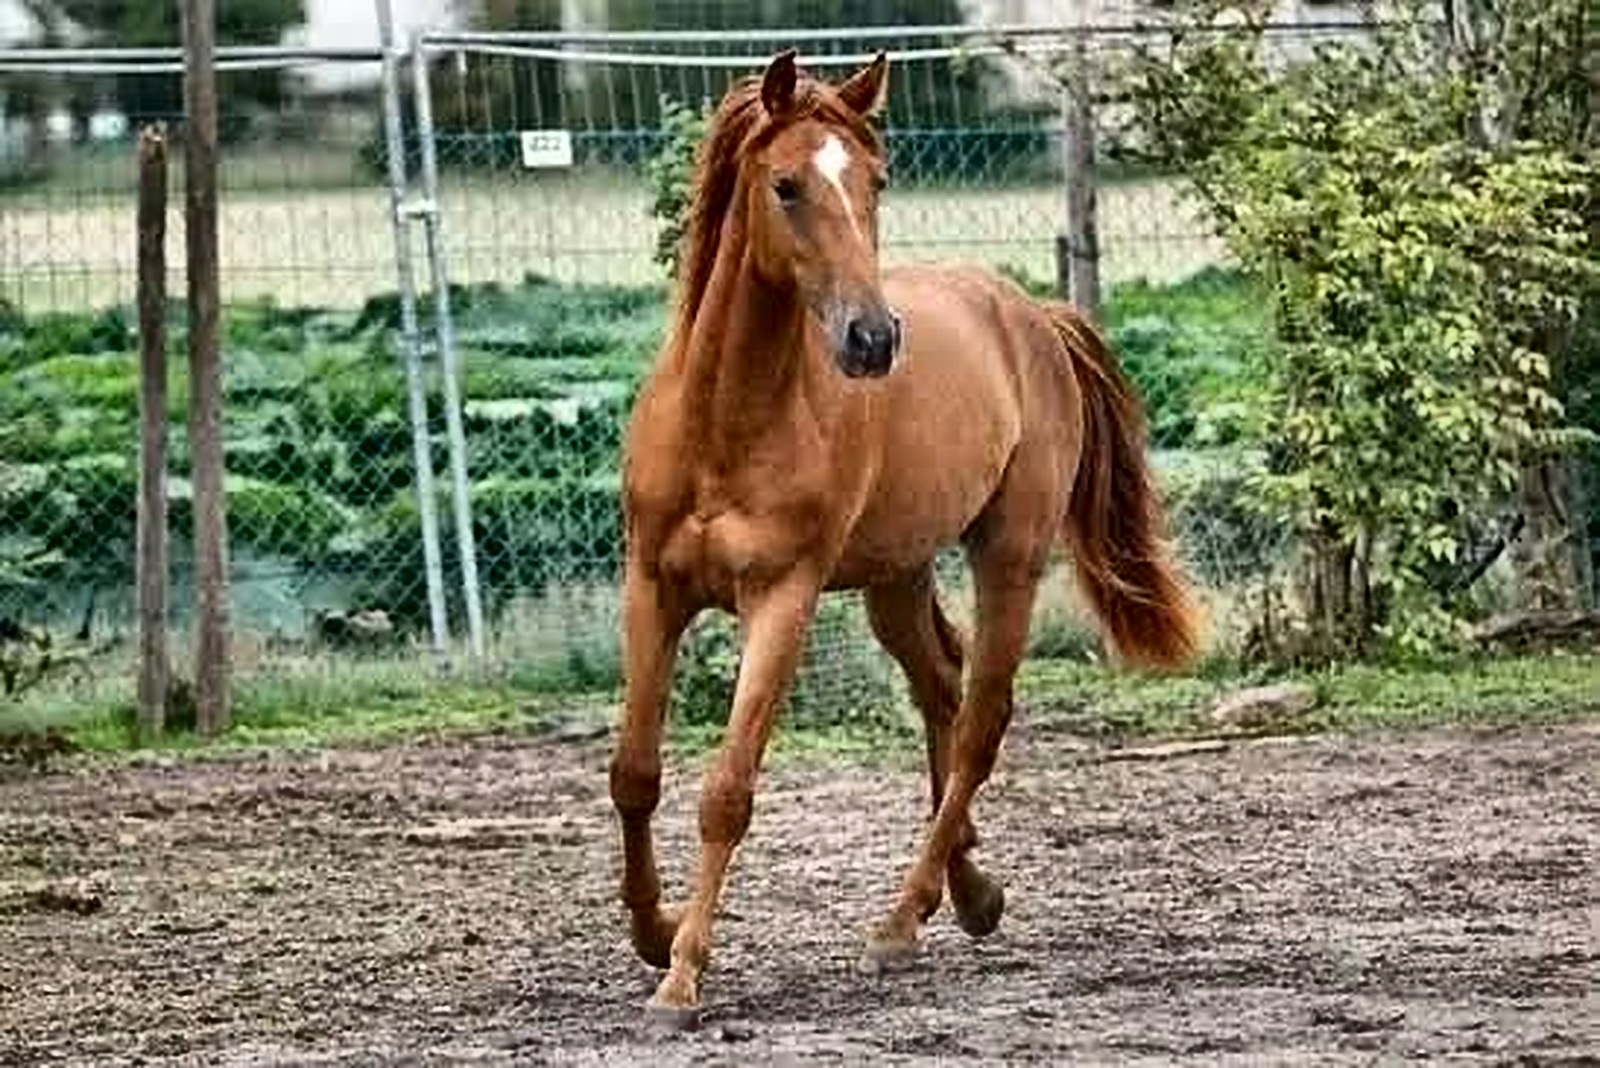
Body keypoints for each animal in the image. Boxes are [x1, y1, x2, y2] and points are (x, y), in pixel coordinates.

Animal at [609, 49, 1201, 1026]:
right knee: (943, 692)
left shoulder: (784, 599)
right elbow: (635, 773)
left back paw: (902, 918)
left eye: (875, 181)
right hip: (897, 579)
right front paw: (653, 936)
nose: (874, 339)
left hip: (1007, 556)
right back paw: (967, 892)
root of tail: (1033, 318)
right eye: (785, 185)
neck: (726, 425)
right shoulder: (652, 588)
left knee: (980, 721)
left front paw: (683, 972)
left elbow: (727, 790)